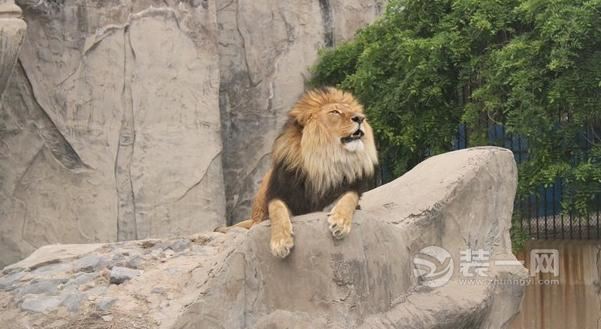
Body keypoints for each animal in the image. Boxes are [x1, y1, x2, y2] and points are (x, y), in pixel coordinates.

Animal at [221, 88, 380, 258]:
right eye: (335, 112)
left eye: (353, 111)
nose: (360, 118)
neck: (324, 163)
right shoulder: (279, 193)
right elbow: (277, 209)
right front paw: (280, 242)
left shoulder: (349, 189)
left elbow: (349, 198)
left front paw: (340, 222)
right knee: (255, 223)